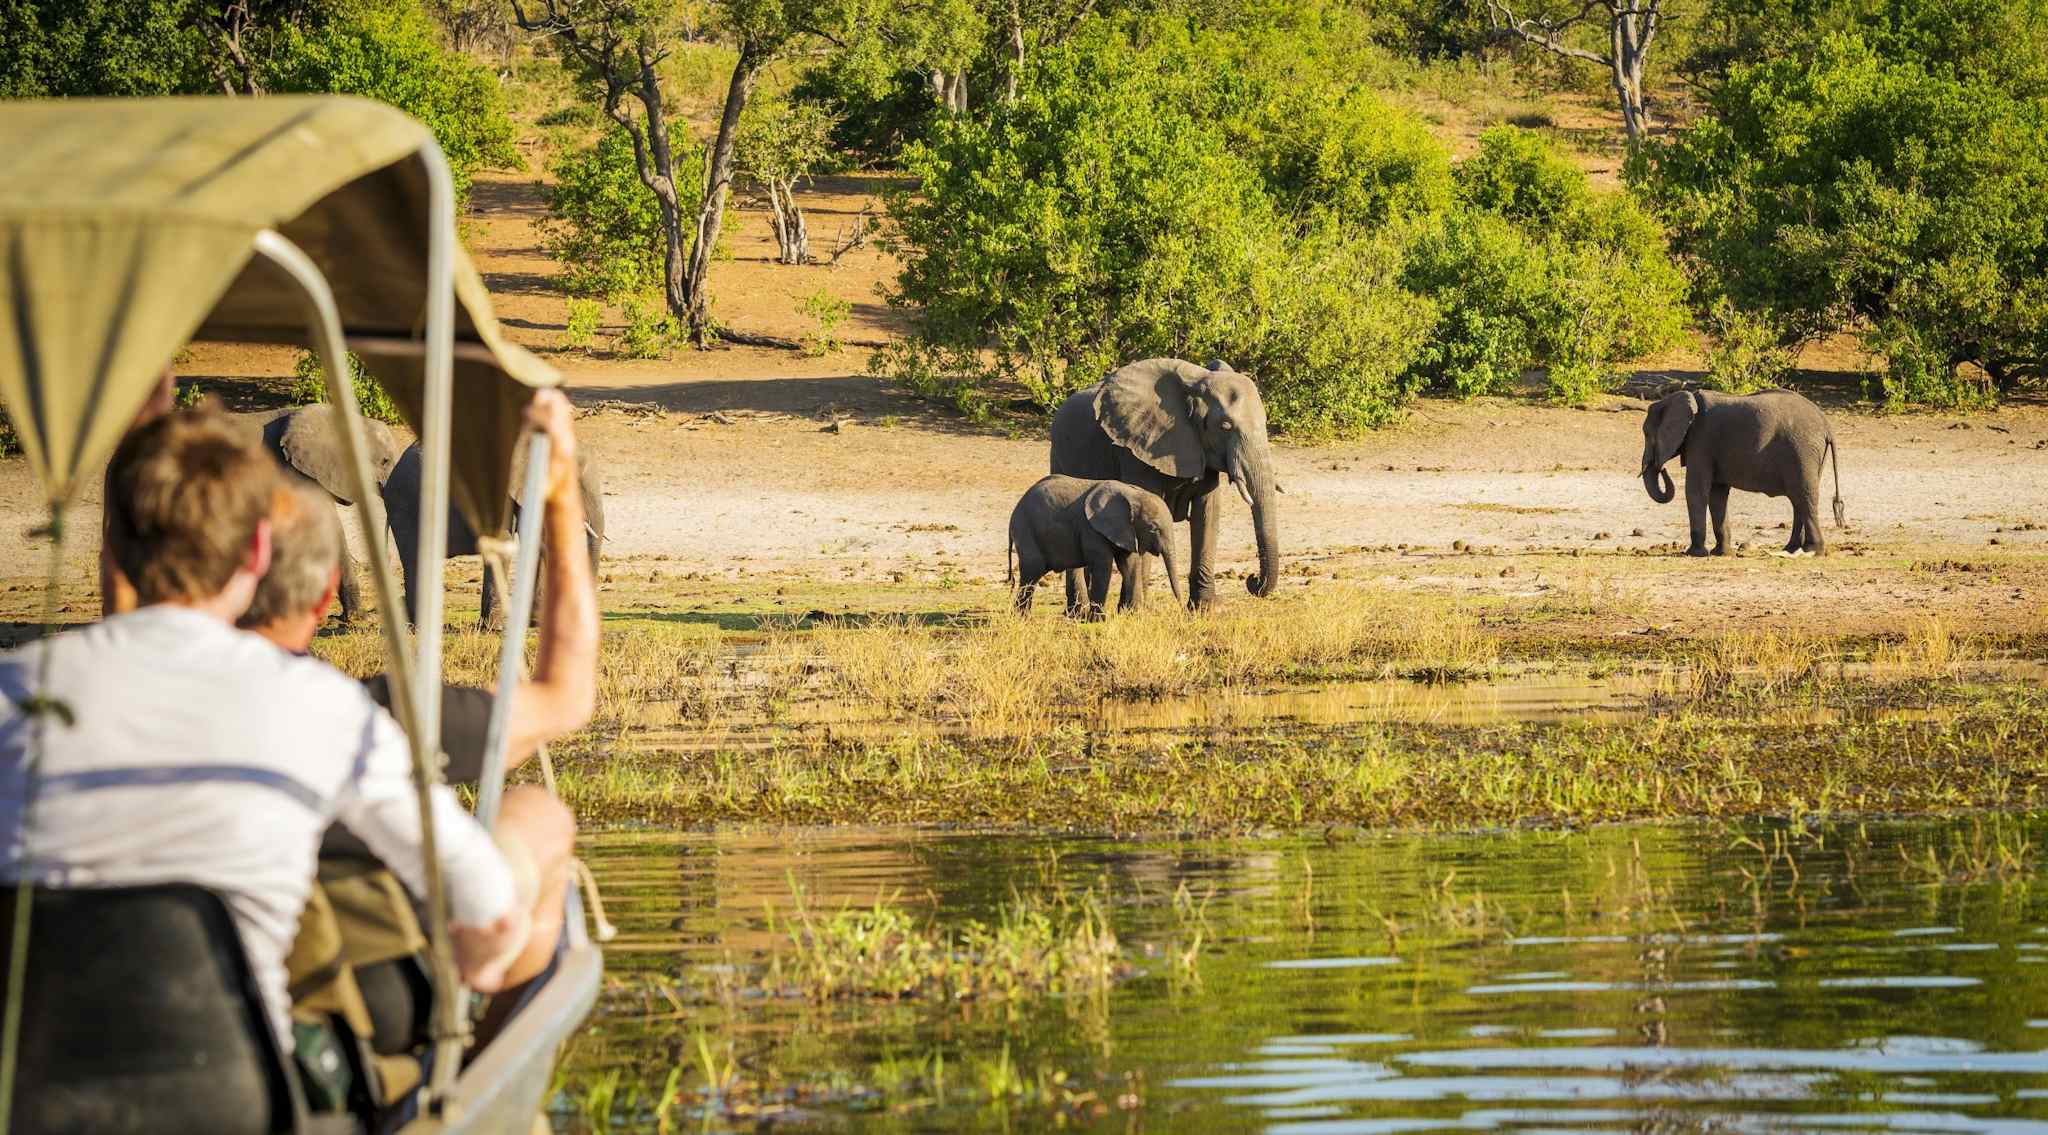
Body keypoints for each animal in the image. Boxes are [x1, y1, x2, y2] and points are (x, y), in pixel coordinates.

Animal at [1007, 477, 1187, 618]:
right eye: (1153, 529)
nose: (1182, 608)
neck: (1132, 494)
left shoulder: (1126, 530)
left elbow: (1130, 565)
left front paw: (1134, 616)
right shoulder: (1092, 530)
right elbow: (1103, 566)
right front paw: (1098, 620)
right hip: (1026, 530)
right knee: (1032, 571)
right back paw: (1022, 618)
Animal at [1056, 356, 1277, 606]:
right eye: (1225, 426)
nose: (1252, 580)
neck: (1195, 383)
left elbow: (1207, 512)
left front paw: (1205, 608)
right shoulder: (1136, 448)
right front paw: (1136, 609)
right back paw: (1079, 610)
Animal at [1638, 387, 1851, 553]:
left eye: (1646, 434)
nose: (1661, 468)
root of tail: (1827, 425)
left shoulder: (1701, 442)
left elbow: (1696, 490)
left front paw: (1694, 553)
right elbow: (1717, 495)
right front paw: (1721, 553)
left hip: (1802, 450)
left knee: (1803, 495)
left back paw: (1812, 551)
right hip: (1811, 455)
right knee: (1799, 498)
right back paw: (1791, 549)